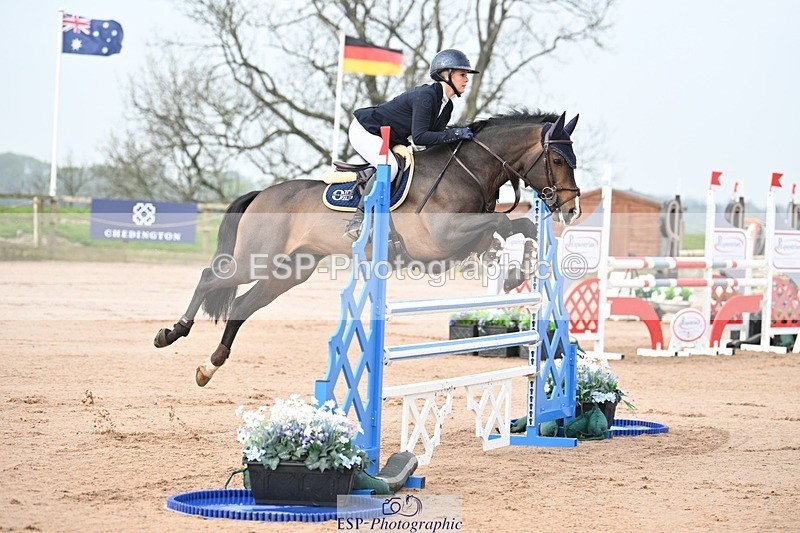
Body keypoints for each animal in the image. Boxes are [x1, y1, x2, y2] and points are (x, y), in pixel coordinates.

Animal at [153, 110, 582, 386]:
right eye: (559, 158)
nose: (572, 209)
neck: (471, 170)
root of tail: (262, 193)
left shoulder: (460, 243)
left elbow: (518, 226)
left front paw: (517, 273)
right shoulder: (440, 240)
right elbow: (502, 225)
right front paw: (513, 271)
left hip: (289, 271)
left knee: (242, 304)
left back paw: (209, 367)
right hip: (256, 260)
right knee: (210, 278)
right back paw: (171, 333)